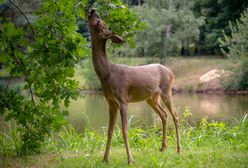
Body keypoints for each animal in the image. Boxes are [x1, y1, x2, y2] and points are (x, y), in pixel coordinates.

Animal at [88, 9, 181, 164]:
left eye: (100, 22)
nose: (92, 10)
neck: (107, 73)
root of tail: (171, 72)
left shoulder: (122, 99)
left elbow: (124, 130)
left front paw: (130, 159)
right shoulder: (110, 101)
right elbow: (109, 130)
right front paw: (105, 158)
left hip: (167, 91)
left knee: (175, 115)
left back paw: (179, 149)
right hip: (152, 98)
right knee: (164, 115)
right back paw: (163, 147)